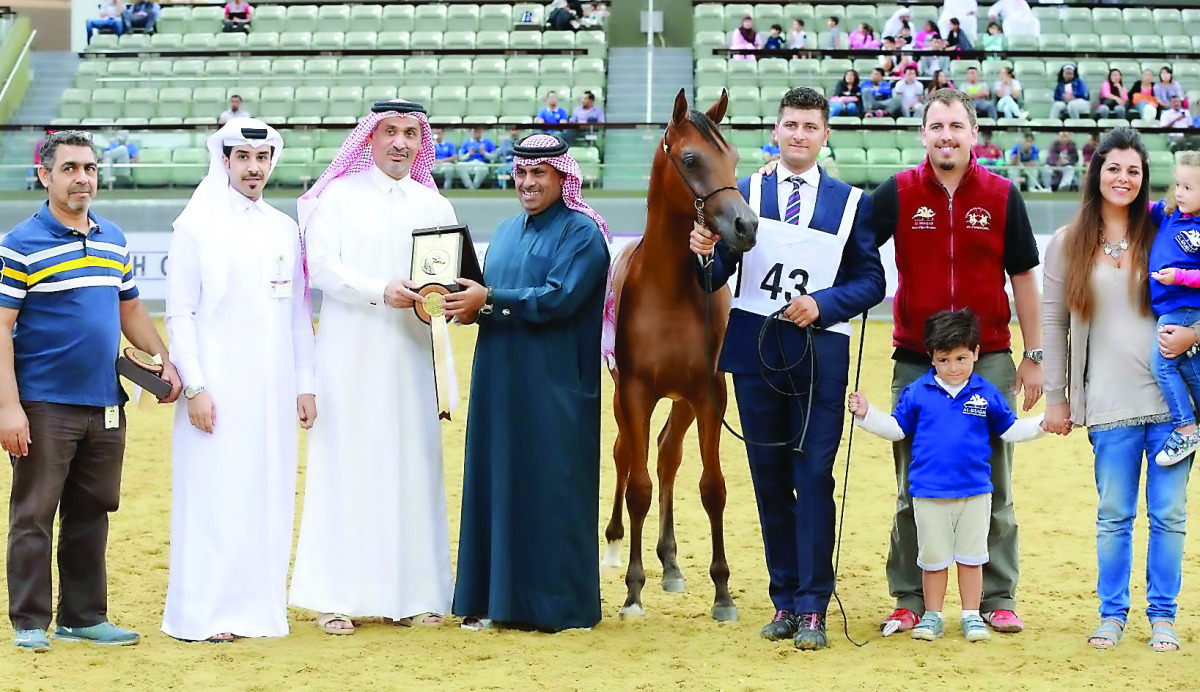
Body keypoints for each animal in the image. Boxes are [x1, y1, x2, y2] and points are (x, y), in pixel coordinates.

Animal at [603, 88, 759, 622]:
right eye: (690, 159)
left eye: (733, 157)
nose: (746, 225)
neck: (667, 289)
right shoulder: (634, 393)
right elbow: (638, 487)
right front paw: (632, 593)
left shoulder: (710, 393)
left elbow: (712, 488)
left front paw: (724, 594)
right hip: (625, 398)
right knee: (625, 455)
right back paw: (613, 545)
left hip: (684, 401)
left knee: (668, 454)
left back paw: (670, 565)